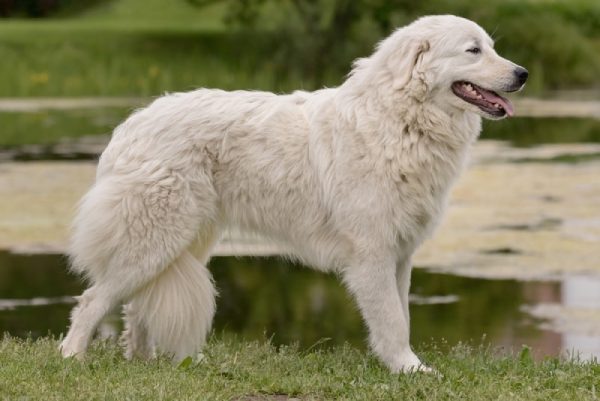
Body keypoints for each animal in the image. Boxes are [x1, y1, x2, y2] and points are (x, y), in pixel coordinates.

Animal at [61, 15, 528, 372]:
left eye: (491, 47)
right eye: (473, 51)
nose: (522, 74)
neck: (401, 119)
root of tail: (128, 126)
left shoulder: (400, 254)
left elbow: (403, 315)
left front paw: (402, 365)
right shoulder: (373, 253)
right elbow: (393, 321)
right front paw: (410, 370)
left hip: (180, 244)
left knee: (135, 306)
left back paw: (144, 363)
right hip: (154, 238)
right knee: (92, 300)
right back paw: (73, 358)